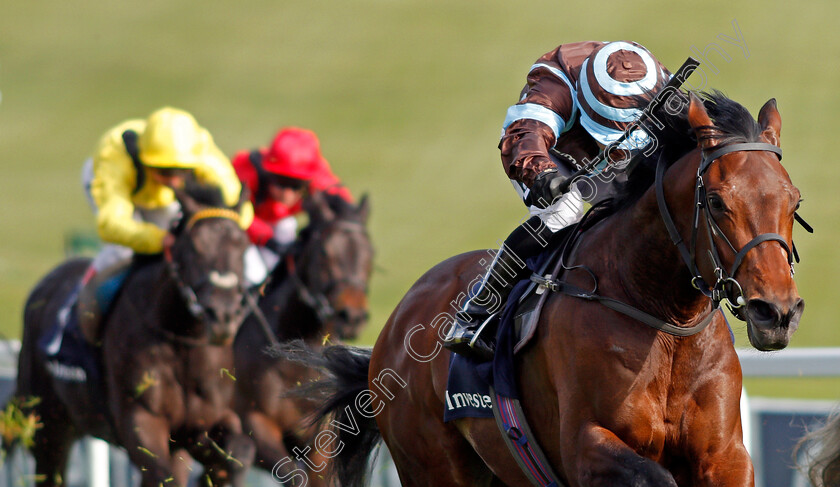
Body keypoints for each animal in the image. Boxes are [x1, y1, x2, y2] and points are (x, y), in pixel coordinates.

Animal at [13, 188, 254, 487]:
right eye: (193, 246)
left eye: (242, 246)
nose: (223, 315)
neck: (181, 341)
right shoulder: (139, 419)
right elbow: (162, 474)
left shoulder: (198, 425)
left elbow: (239, 451)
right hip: (47, 424)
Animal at [233, 193, 370, 486]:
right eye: (325, 252)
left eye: (370, 254)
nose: (352, 315)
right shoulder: (256, 423)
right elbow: (296, 478)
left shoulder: (321, 436)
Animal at [306, 93, 800, 486]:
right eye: (716, 202)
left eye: (794, 200)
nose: (776, 312)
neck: (661, 317)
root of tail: (396, 324)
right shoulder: (586, 445)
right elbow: (651, 475)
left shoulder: (725, 456)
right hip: (432, 465)